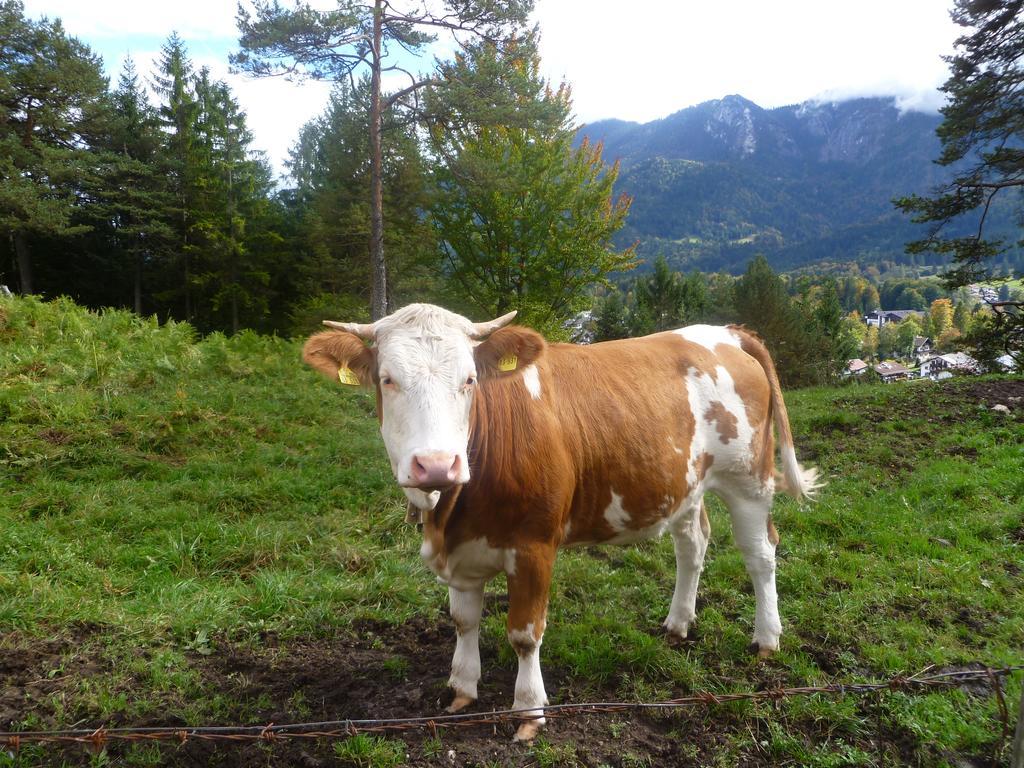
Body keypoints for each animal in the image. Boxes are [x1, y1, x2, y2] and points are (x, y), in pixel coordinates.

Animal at [299, 303, 819, 741]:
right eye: (387, 379)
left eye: (469, 379)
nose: (436, 465)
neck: (453, 512)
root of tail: (725, 331)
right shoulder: (462, 550)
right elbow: (464, 621)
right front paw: (461, 689)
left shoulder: (535, 545)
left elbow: (525, 634)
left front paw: (529, 711)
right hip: (684, 483)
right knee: (693, 545)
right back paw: (677, 623)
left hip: (749, 477)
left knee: (760, 555)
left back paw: (767, 638)